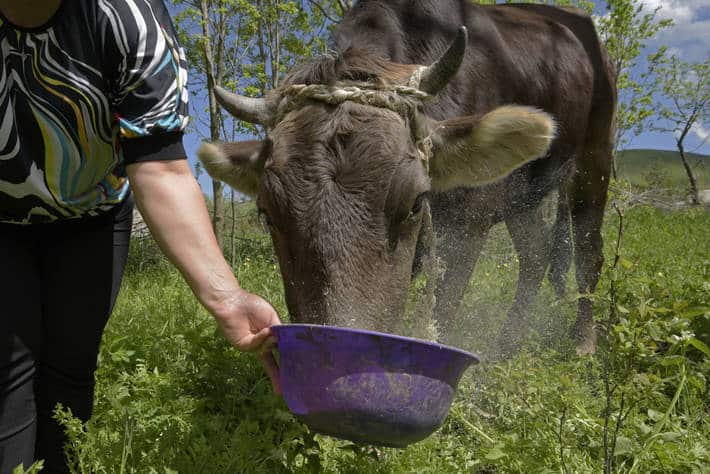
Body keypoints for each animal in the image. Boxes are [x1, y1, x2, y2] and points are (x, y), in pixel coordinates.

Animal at [197, 0, 616, 356]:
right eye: (267, 213)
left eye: (416, 203)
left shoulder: (468, 221)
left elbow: (442, 310)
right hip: (521, 194)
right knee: (535, 254)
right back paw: (506, 346)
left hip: (594, 157)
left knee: (588, 251)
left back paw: (584, 342)